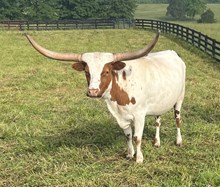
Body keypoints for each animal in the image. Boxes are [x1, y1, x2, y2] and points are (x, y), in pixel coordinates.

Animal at [25, 31, 186, 163]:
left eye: (107, 71)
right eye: (87, 72)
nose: (92, 91)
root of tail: (172, 52)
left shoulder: (140, 115)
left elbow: (137, 138)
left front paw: (139, 158)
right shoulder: (121, 117)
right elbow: (128, 136)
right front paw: (130, 154)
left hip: (179, 99)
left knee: (177, 119)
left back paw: (178, 141)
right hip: (161, 102)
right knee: (158, 120)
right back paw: (157, 142)